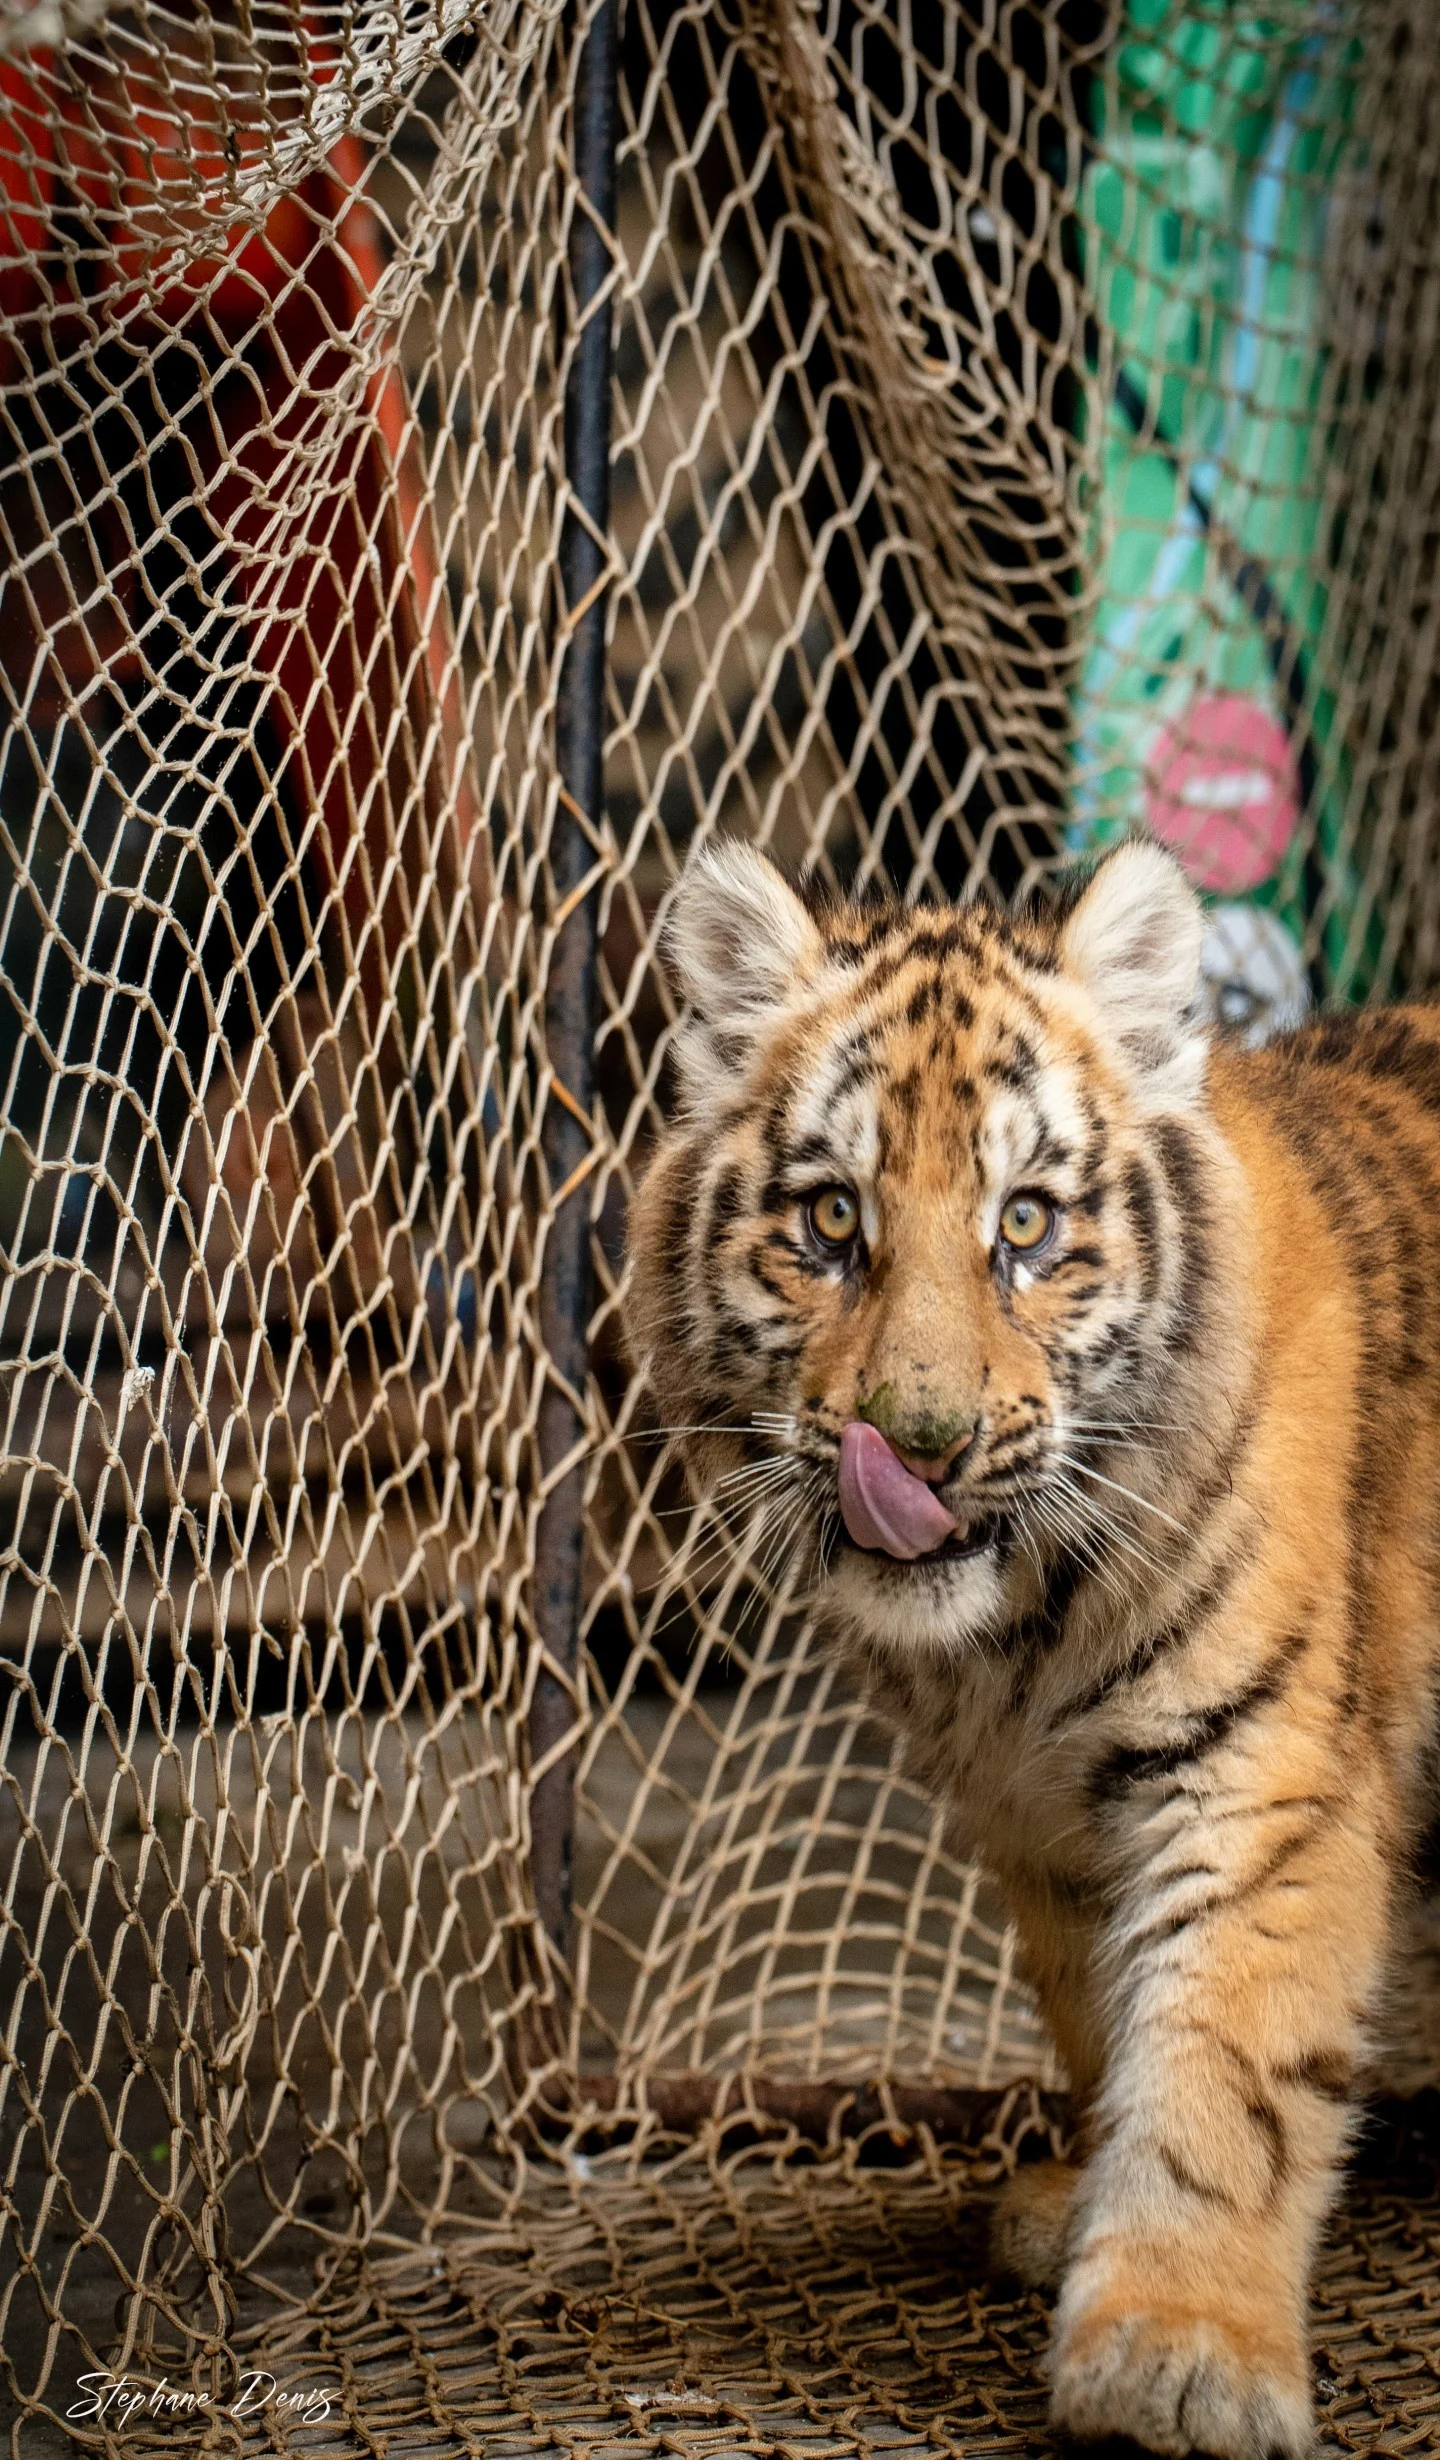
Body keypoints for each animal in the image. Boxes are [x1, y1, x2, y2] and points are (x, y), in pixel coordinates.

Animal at [624, 835, 1440, 2460]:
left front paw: (1177, 2356)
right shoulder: (1043, 1819)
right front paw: (1080, 2214)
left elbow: (1224, 2062)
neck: (1023, 1636)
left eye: (1026, 1225)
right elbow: (1108, 2016)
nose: (920, 1445)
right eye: (831, 1222)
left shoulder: (1259, 1776)